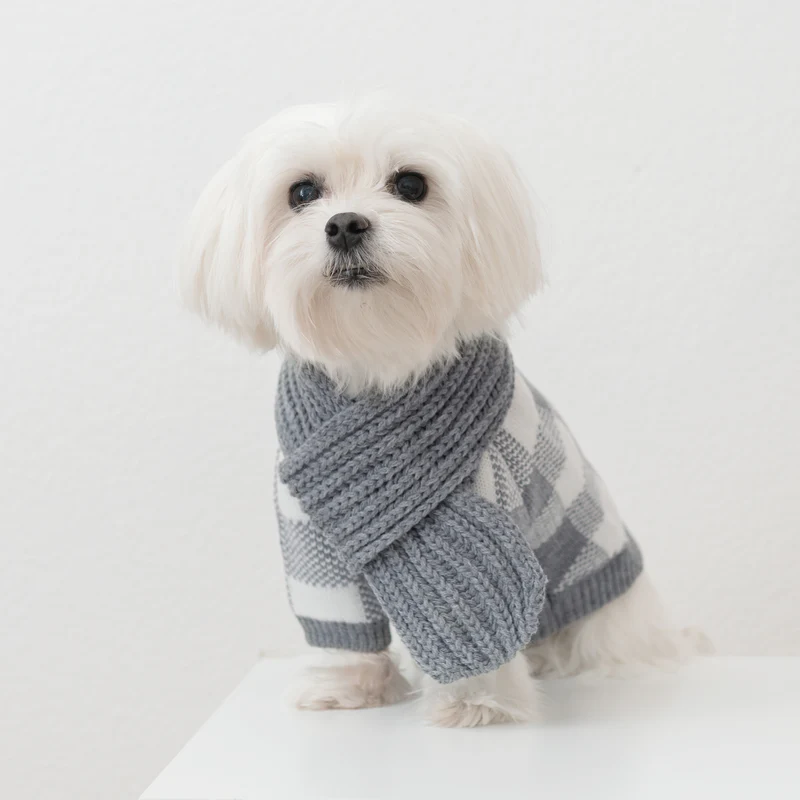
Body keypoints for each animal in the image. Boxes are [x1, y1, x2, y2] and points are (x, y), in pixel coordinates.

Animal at [180, 98, 705, 728]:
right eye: (302, 192)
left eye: (411, 184)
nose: (346, 224)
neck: (381, 359)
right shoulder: (309, 536)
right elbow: (340, 626)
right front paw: (343, 687)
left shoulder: (485, 509)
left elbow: (476, 606)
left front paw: (477, 701)